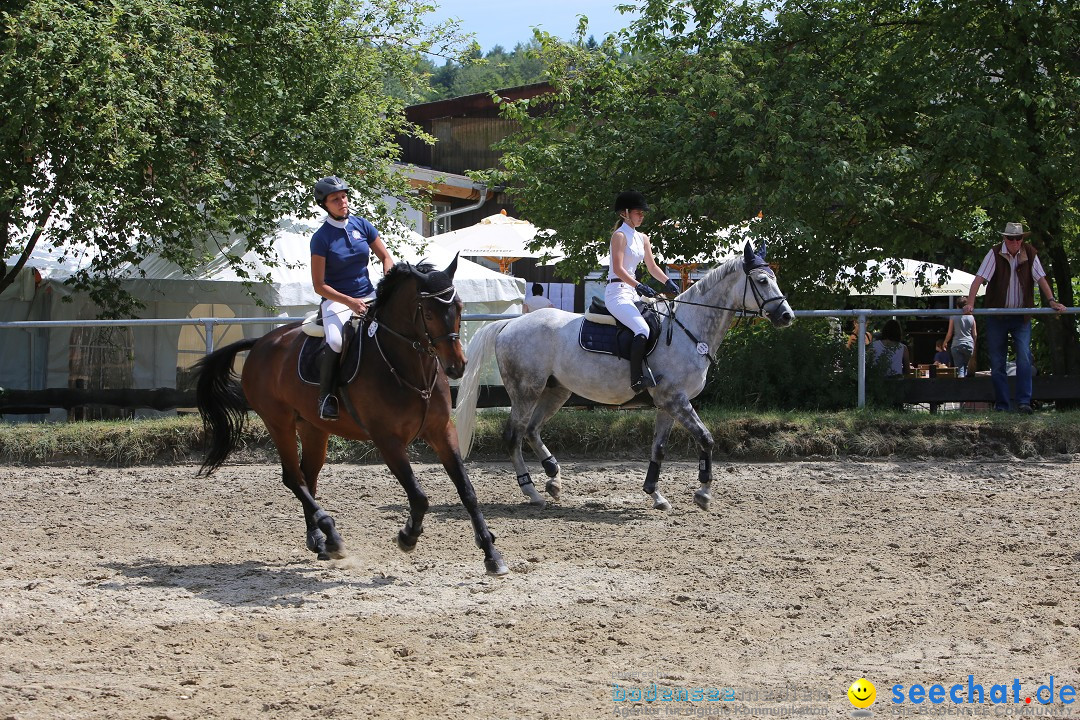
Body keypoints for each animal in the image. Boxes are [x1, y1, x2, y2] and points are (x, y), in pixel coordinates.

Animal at [193, 255, 505, 578]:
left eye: (459, 308)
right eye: (428, 313)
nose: (457, 366)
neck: (409, 365)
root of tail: (261, 342)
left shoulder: (441, 431)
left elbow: (467, 491)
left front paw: (491, 553)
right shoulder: (387, 440)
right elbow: (419, 496)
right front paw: (407, 536)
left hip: (313, 428)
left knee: (308, 475)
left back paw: (319, 541)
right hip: (278, 422)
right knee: (293, 477)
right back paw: (331, 535)